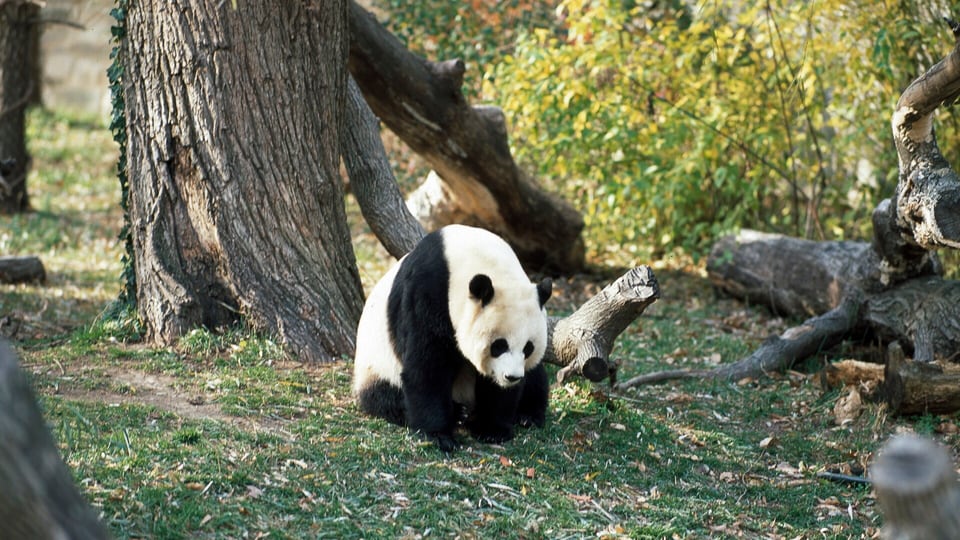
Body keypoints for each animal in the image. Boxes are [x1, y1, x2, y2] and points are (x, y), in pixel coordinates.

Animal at [352, 224, 552, 452]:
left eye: (528, 348)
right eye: (498, 345)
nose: (511, 377)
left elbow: (497, 387)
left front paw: (493, 429)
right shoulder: (426, 294)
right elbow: (427, 367)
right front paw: (440, 436)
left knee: (536, 377)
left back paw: (527, 415)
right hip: (377, 366)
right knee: (386, 397)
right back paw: (458, 413)